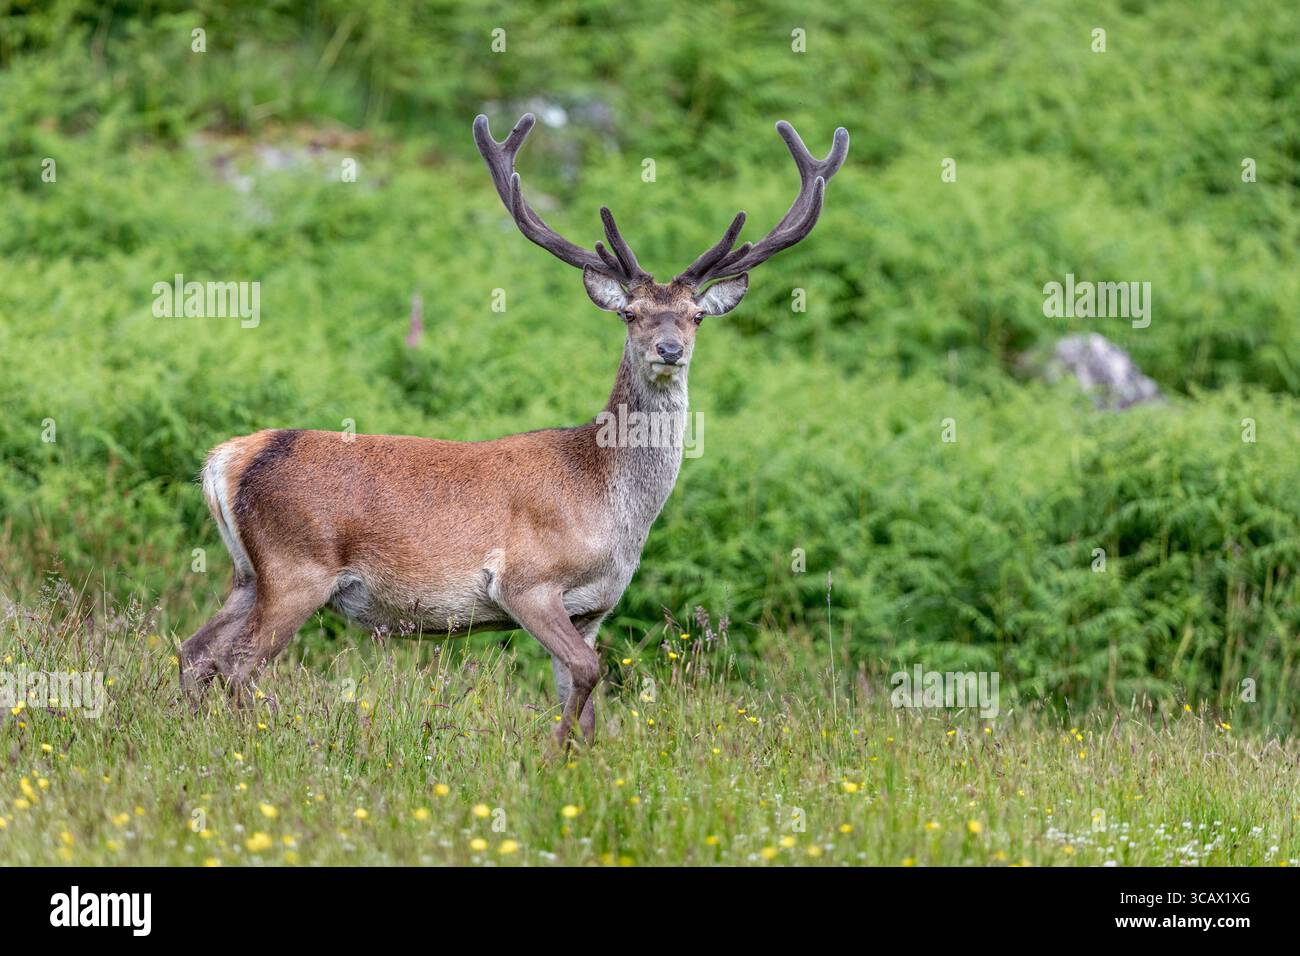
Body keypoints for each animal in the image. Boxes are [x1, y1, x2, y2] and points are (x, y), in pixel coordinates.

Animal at [178, 112, 848, 749]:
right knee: (237, 664)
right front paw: (548, 757)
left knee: (194, 651)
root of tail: (229, 458)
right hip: (297, 567)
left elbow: (584, 697)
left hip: (248, 574)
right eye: (630, 313)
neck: (611, 503)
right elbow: (588, 674)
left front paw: (579, 765)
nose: (668, 349)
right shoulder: (527, 582)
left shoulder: (594, 608)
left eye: (694, 317)